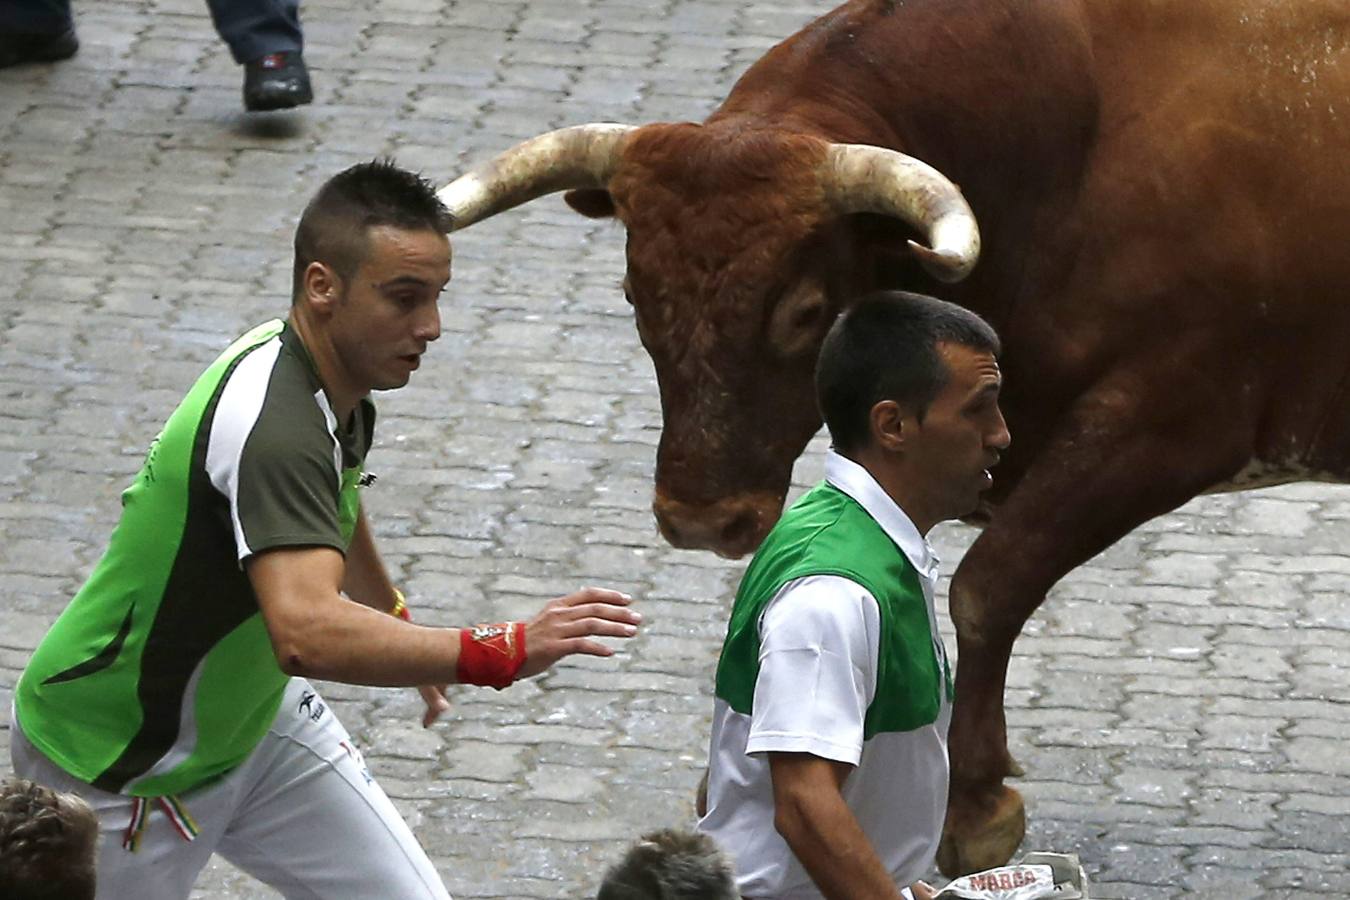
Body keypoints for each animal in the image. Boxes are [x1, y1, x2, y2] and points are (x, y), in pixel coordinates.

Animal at [440, 0, 1350, 874]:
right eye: (633, 294)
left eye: (804, 310)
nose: (699, 518)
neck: (1071, 150)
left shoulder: (1169, 420)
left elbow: (989, 587)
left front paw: (973, 802)